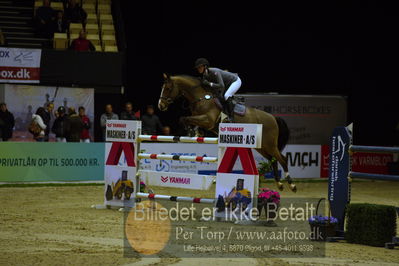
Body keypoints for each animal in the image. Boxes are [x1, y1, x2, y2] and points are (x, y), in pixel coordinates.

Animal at [159, 73, 296, 191]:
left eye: (168, 88)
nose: (161, 106)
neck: (201, 97)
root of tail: (273, 117)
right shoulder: (201, 119)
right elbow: (187, 119)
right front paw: (194, 132)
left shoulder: (208, 120)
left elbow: (184, 118)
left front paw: (191, 131)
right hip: (261, 146)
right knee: (273, 159)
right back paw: (279, 184)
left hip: (270, 144)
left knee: (282, 159)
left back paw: (291, 184)